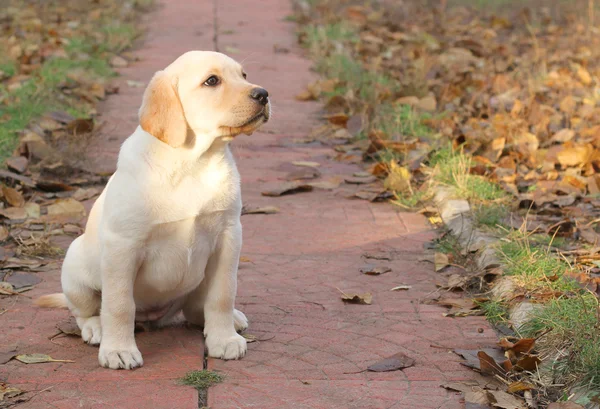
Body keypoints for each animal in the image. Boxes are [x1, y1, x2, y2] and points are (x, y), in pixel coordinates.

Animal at [36, 51, 270, 370]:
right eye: (212, 81)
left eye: (244, 75)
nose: (263, 94)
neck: (192, 162)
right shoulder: (124, 247)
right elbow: (119, 304)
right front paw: (118, 350)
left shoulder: (228, 236)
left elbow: (223, 294)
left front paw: (224, 339)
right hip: (75, 270)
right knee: (87, 310)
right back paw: (96, 328)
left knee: (198, 308)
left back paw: (229, 320)